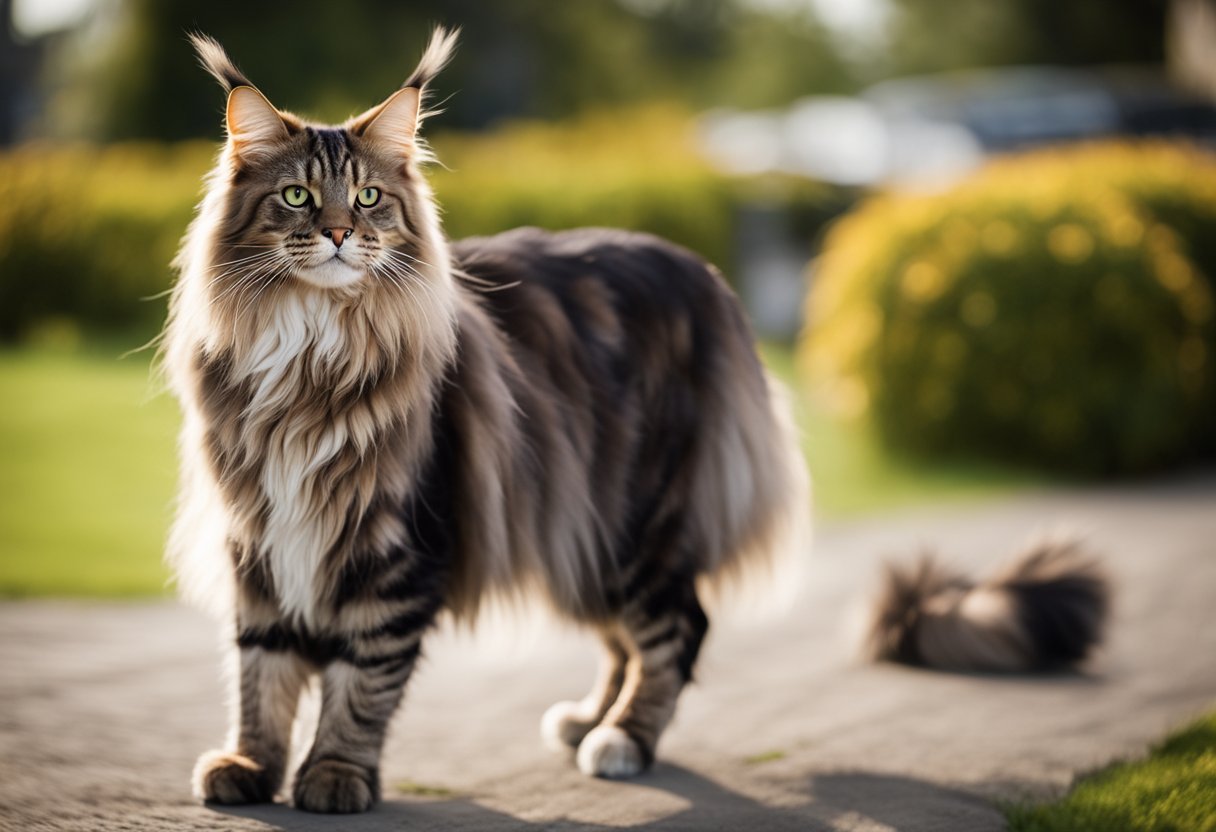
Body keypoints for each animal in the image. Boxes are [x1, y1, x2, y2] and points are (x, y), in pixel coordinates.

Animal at [164, 30, 807, 812]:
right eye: (296, 196)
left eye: (369, 197)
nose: (340, 232)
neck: (313, 349)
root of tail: (699, 272)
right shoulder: (258, 535)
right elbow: (261, 673)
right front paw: (250, 764)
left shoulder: (399, 545)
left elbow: (360, 683)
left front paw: (336, 775)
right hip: (582, 532)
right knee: (625, 640)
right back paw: (588, 720)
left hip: (639, 525)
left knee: (677, 632)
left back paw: (622, 739)